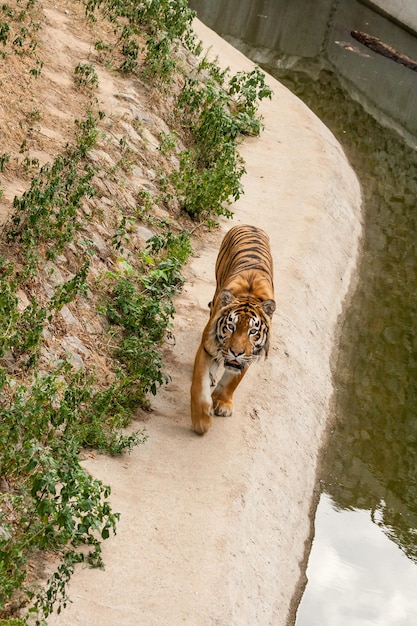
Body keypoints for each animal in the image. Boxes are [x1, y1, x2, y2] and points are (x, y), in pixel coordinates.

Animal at [190, 224, 274, 434]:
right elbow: (198, 385)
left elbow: (232, 380)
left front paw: (222, 403)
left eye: (253, 332)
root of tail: (251, 225)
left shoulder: (249, 355)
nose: (236, 352)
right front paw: (202, 421)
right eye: (230, 326)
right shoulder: (207, 346)